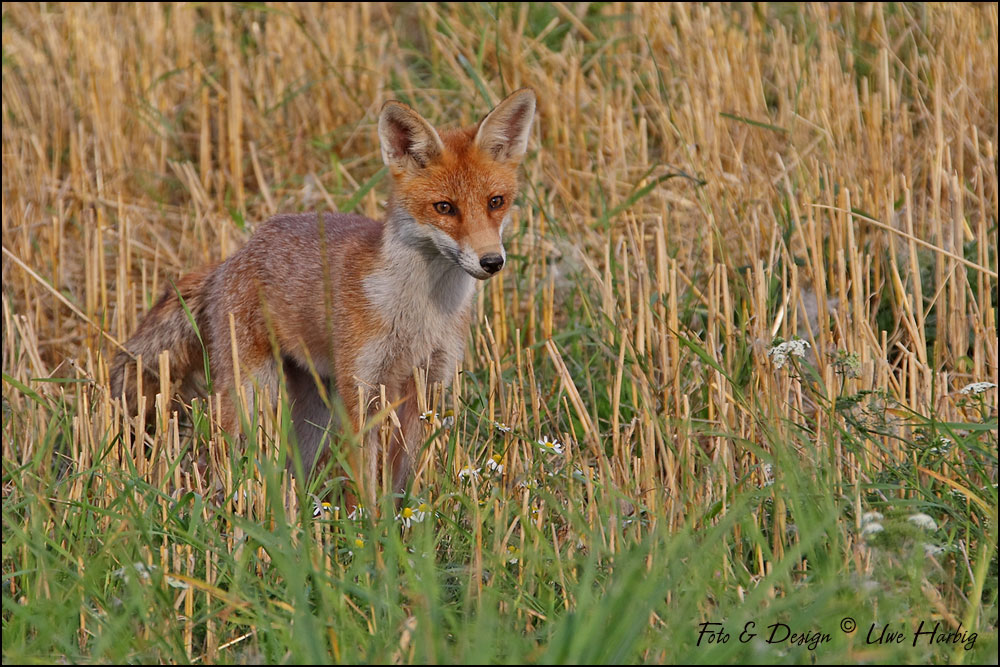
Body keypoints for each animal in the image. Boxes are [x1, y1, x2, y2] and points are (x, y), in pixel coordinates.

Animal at [111, 87, 540, 506]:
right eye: (445, 208)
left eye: (496, 202)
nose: (492, 261)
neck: (418, 314)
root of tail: (231, 258)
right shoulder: (362, 388)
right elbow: (362, 482)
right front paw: (366, 526)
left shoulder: (426, 384)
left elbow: (405, 479)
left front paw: (403, 522)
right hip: (252, 396)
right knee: (217, 462)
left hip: (313, 411)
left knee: (292, 471)